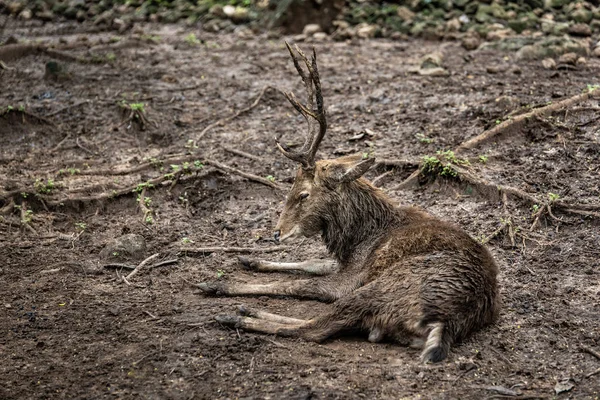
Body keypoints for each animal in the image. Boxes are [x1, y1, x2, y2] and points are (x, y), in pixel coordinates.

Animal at [199, 43, 500, 362]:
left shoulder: (351, 279)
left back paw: (237, 315)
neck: (358, 237)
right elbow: (311, 262)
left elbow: (299, 283)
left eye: (303, 194)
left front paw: (218, 284)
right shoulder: (347, 264)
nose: (277, 233)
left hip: (384, 285)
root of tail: (444, 323)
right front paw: (249, 259)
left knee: (316, 328)